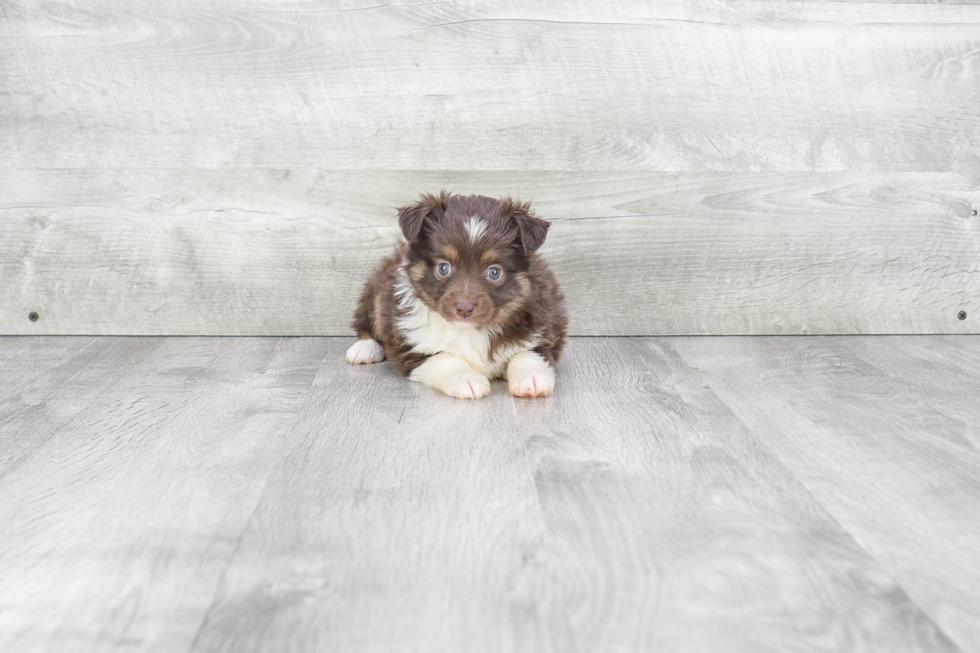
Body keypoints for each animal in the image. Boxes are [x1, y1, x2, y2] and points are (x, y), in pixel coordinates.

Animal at [348, 190, 572, 398]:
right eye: (444, 268)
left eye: (494, 272)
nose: (464, 308)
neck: (471, 330)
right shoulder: (413, 346)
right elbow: (445, 358)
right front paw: (467, 379)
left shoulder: (543, 333)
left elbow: (526, 355)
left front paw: (532, 379)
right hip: (376, 291)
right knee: (366, 323)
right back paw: (365, 349)